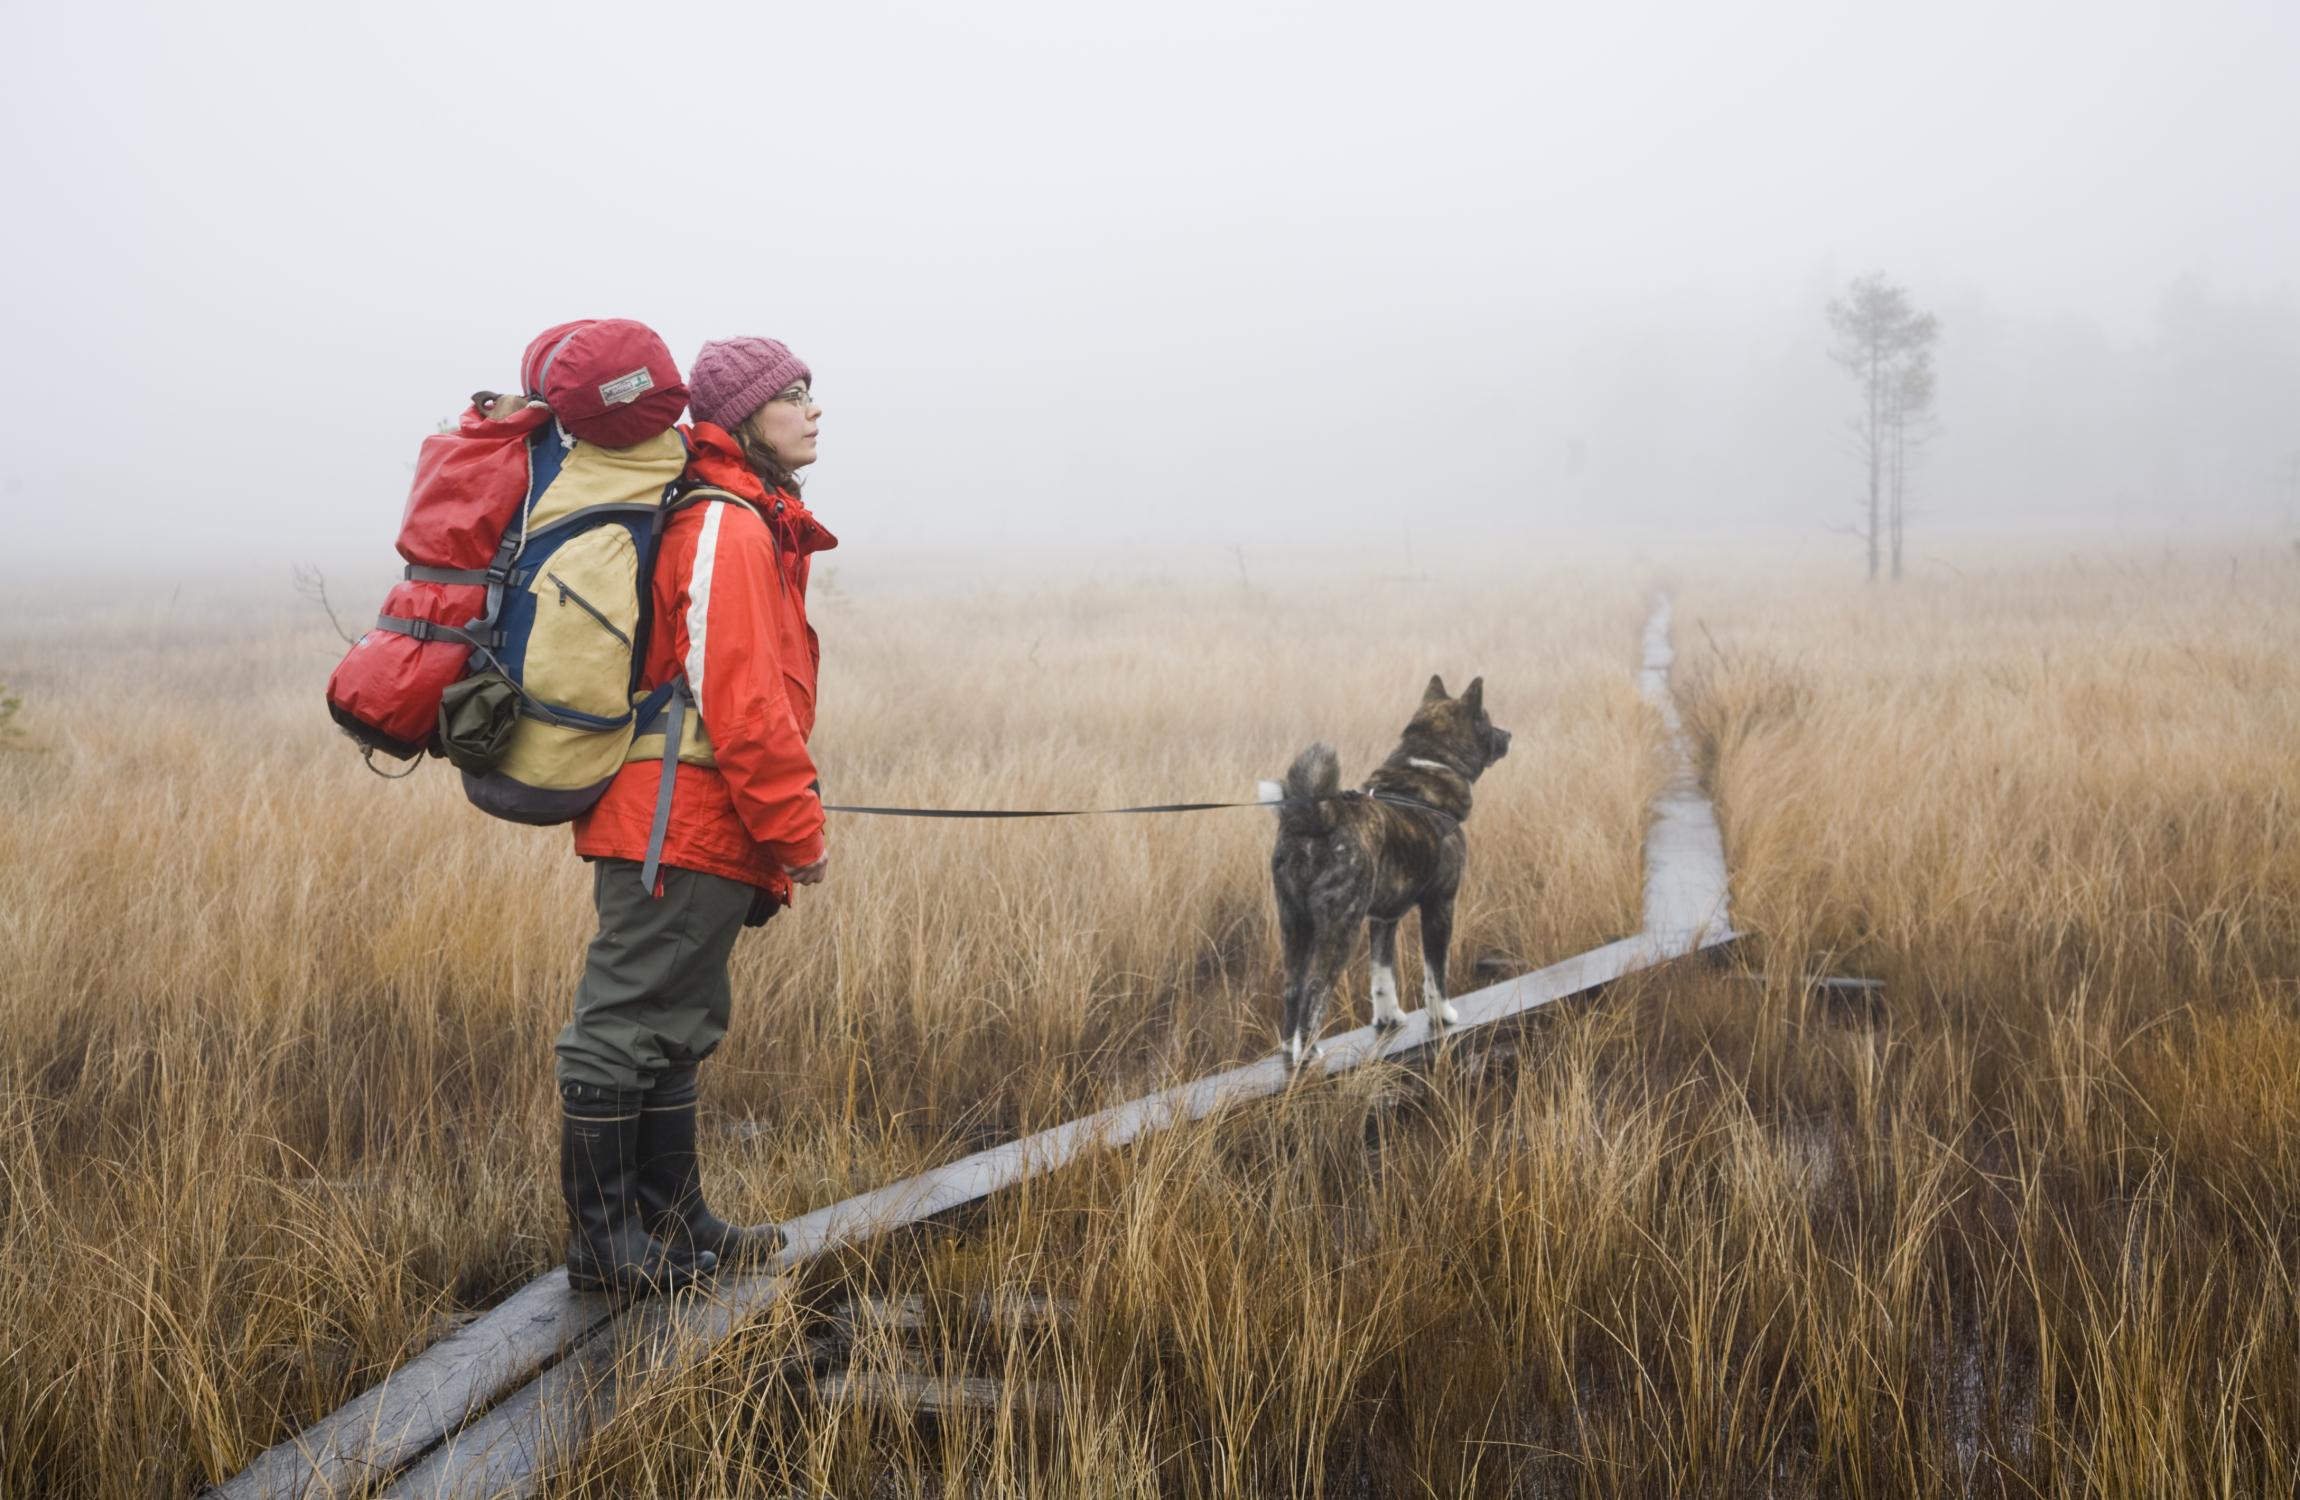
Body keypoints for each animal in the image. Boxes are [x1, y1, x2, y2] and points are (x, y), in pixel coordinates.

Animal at [1259, 675, 1512, 1069]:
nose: (1509, 734)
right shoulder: (1440, 906)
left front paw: (1388, 1017)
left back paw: (1290, 1049)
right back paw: (1310, 1053)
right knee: (1315, 991)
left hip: (1294, 923)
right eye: (1486, 720)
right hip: (1340, 927)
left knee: (1293, 988)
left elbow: (1381, 974)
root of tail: (1315, 817)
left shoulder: (1382, 919)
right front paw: (1443, 1015)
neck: (1427, 766)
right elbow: (1435, 973)